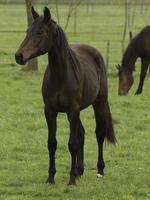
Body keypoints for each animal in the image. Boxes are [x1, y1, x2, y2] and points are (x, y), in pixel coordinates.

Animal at [14, 6, 116, 186]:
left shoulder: (72, 111)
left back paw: (99, 171)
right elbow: (52, 143)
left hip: (99, 103)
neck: (60, 76)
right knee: (82, 132)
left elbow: (72, 144)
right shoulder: (50, 111)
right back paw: (79, 170)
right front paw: (51, 177)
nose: (19, 56)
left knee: (99, 133)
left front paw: (71, 180)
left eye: (40, 32)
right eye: (27, 31)